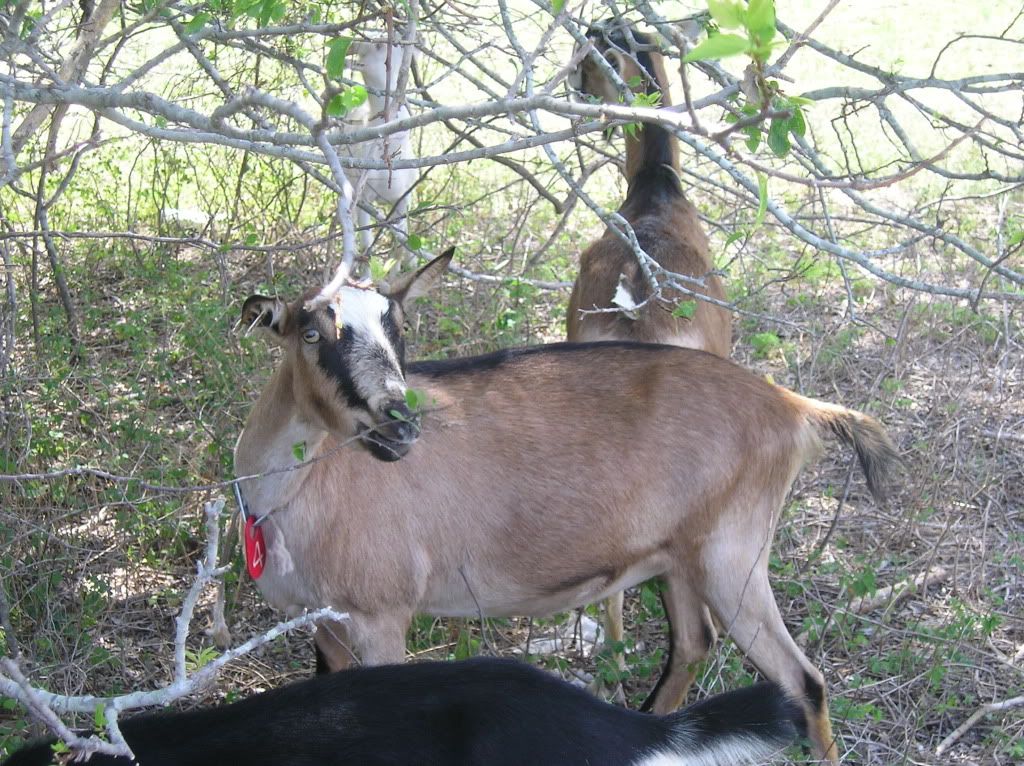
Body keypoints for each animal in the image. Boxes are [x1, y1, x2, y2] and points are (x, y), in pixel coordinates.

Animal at [232, 248, 897, 762]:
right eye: (311, 333)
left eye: (399, 328)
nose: (398, 427)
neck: (298, 495)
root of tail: (792, 407)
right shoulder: (321, 623)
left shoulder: (380, 617)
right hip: (681, 558)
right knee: (693, 644)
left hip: (733, 557)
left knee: (803, 682)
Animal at [345, 38, 417, 255]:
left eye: (380, 45)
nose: (350, 56)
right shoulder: (364, 198)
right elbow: (366, 245)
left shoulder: (403, 200)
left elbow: (405, 249)